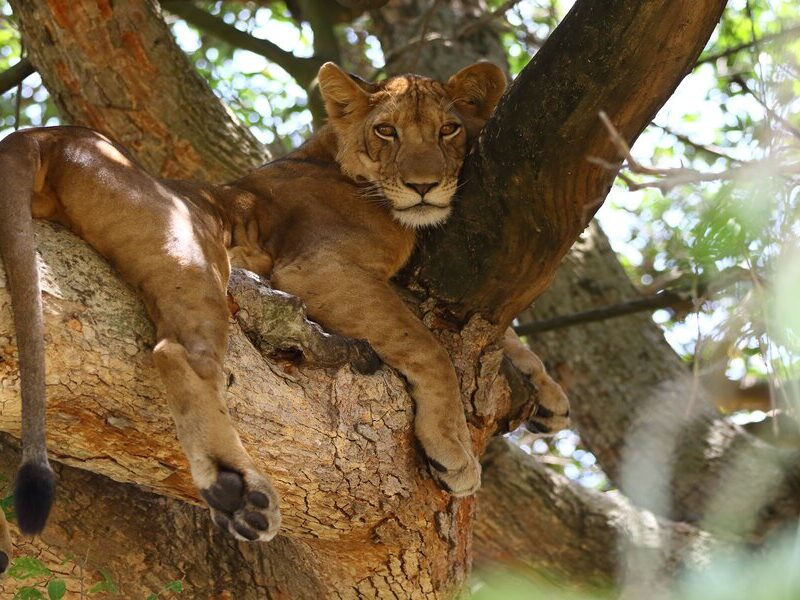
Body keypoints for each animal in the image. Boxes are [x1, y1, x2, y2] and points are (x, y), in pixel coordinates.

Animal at [0, 61, 569, 544]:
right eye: (387, 131)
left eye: (449, 129)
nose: (423, 187)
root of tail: (48, 133)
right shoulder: (317, 270)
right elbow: (427, 345)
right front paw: (452, 449)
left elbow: (503, 332)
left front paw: (549, 394)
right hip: (194, 244)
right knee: (179, 354)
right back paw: (239, 494)